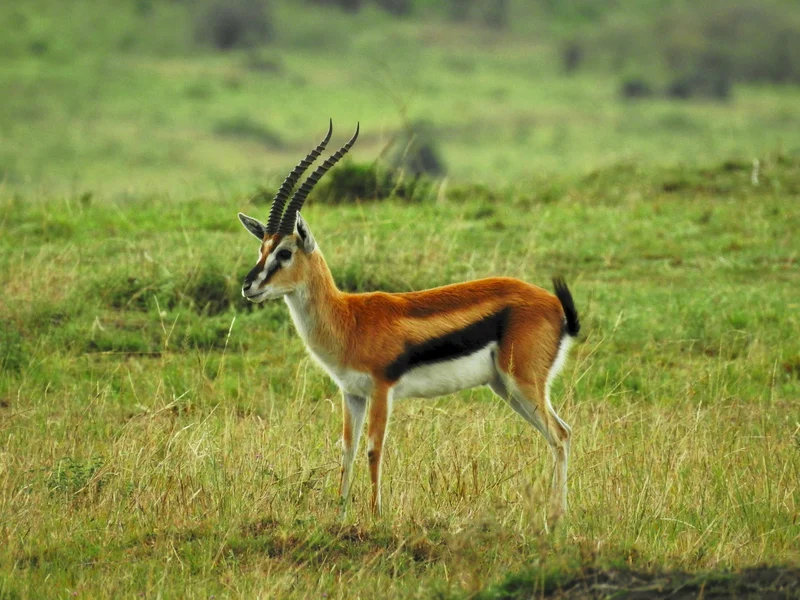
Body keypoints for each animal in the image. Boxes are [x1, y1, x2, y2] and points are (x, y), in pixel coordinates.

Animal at [238, 122, 580, 526]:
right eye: (262, 249)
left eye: (285, 252)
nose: (249, 286)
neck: (348, 318)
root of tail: (554, 306)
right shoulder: (352, 393)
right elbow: (347, 449)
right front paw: (340, 514)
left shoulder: (382, 390)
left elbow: (374, 449)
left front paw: (376, 516)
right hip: (505, 386)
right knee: (558, 435)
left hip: (523, 382)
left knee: (561, 434)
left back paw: (557, 517)